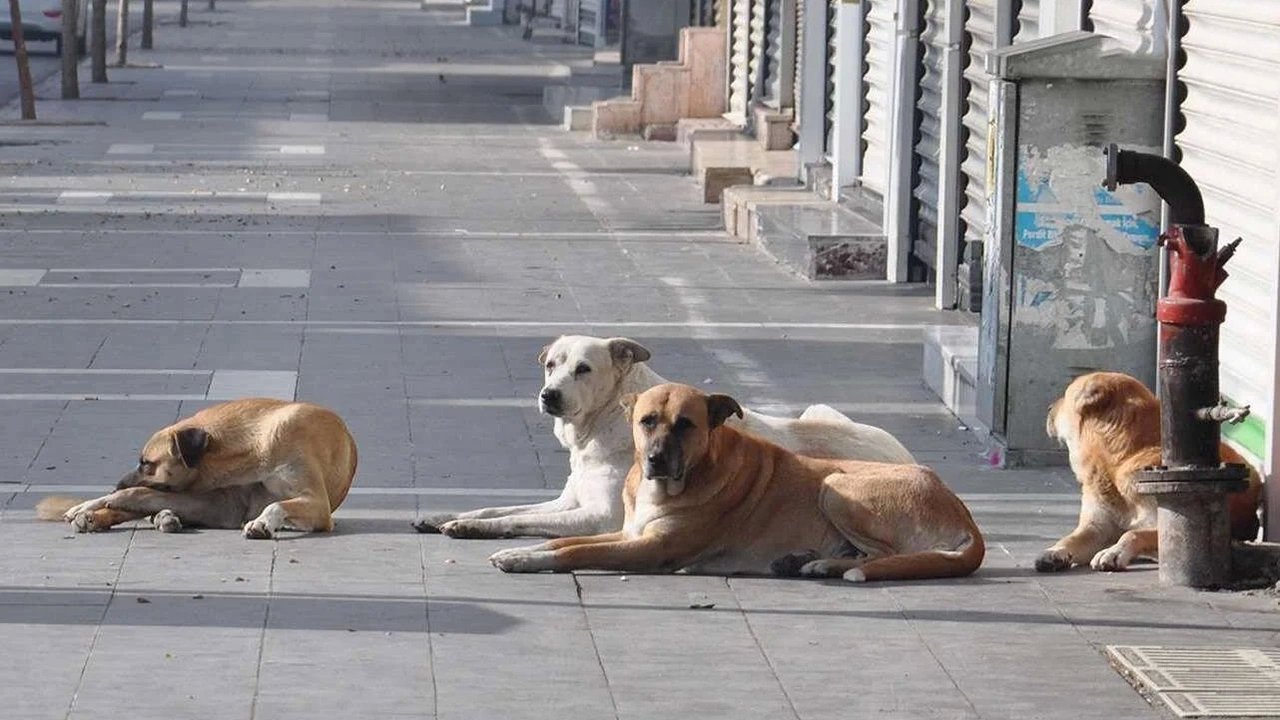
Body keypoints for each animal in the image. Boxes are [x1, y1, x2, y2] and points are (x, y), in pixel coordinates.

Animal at [36, 397, 355, 538]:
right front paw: (90, 504)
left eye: (146, 463)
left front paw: (263, 522)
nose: (116, 483)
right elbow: (134, 495)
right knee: (141, 504)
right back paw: (96, 517)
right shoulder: (220, 503)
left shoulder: (318, 505)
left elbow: (276, 504)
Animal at [414, 335, 916, 538]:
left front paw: (470, 529)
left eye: (584, 369)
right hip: (818, 410)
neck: (601, 427)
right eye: (551, 364)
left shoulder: (600, 517)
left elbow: (513, 520)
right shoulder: (566, 501)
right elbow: (498, 507)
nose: (548, 395)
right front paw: (446, 516)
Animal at [483, 384, 983, 579]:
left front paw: (523, 559)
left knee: (886, 555)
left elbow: (575, 552)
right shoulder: (627, 533)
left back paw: (825, 564)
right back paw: (809, 561)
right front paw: (523, 550)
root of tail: (963, 513)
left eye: (686, 424)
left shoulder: (649, 548)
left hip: (836, 487)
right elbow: (559, 542)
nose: (656, 459)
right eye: (647, 421)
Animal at [1039, 371, 1259, 568]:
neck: (1122, 459)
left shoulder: (1167, 524)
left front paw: (1114, 552)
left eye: (1065, 395)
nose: (1048, 408)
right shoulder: (1095, 528)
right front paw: (1055, 550)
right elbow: (1070, 538)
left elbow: (1133, 533)